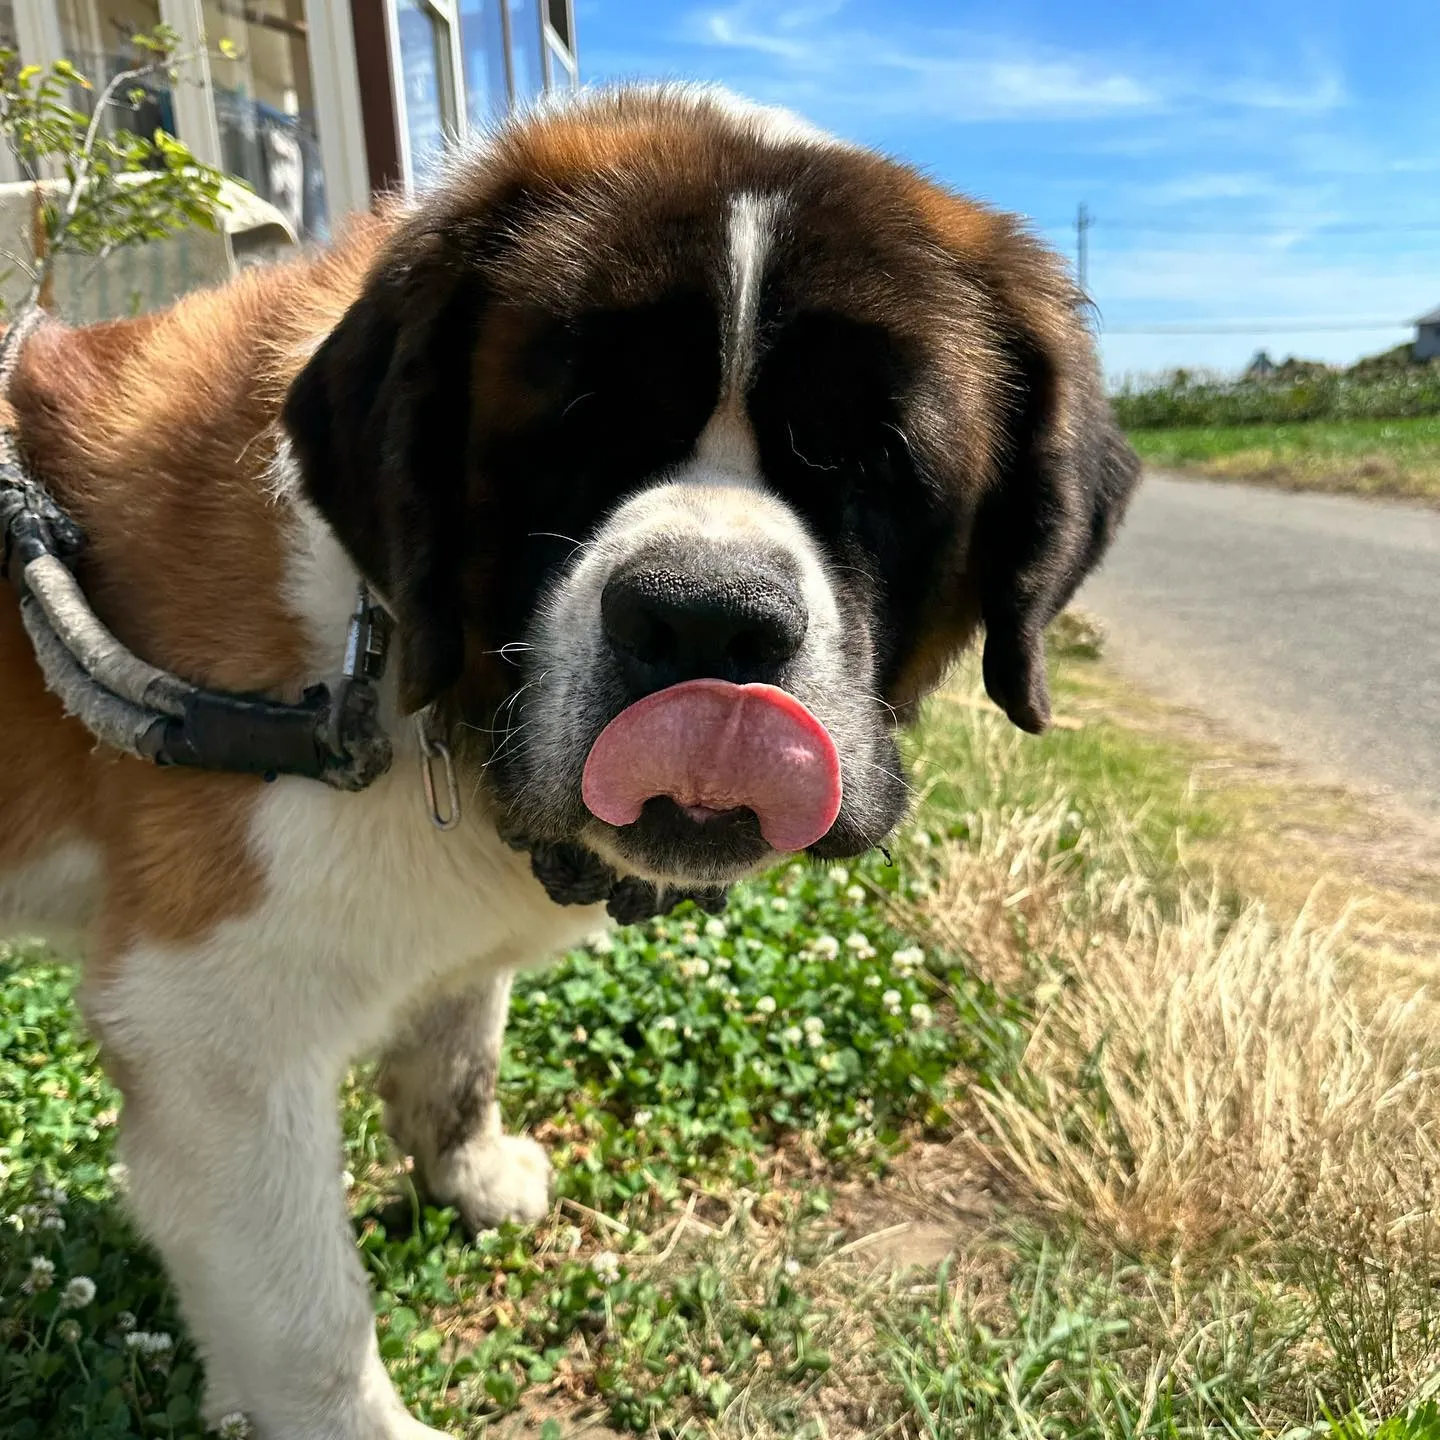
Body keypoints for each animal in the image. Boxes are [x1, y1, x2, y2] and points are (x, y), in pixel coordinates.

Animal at [0, 87, 1134, 1428]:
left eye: (873, 459)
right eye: (574, 430)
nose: (708, 622)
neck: (400, 659)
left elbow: (457, 1045)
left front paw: (467, 1172)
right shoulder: (213, 1035)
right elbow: (308, 1322)